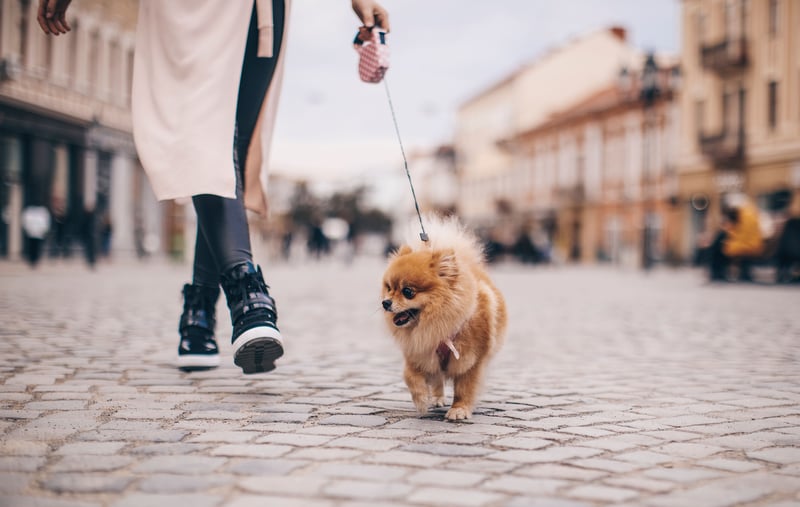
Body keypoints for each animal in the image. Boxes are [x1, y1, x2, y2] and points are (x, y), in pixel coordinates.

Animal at [380, 217, 506, 420]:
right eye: (389, 288)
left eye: (408, 292)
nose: (385, 302)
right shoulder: (418, 351)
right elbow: (409, 376)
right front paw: (421, 399)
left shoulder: (471, 362)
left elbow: (464, 389)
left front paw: (459, 409)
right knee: (437, 379)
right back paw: (436, 398)